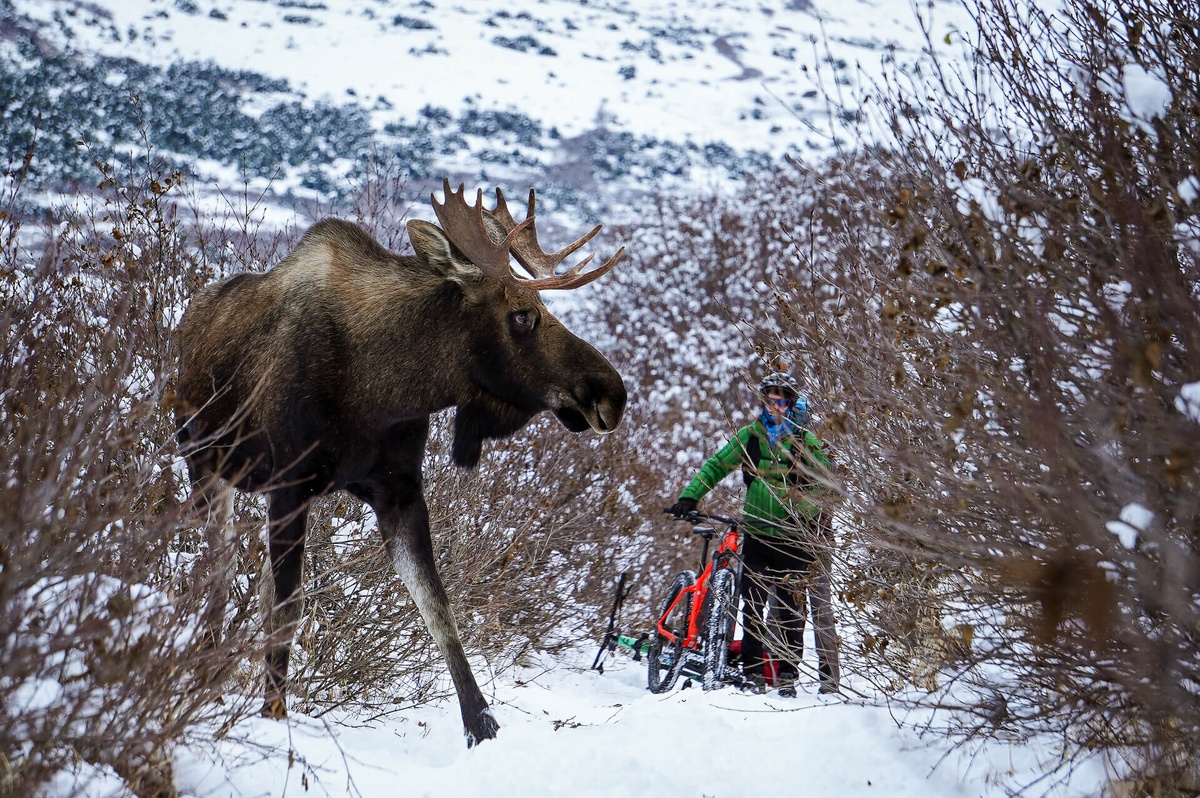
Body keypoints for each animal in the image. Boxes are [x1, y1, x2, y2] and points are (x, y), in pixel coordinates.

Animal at [175, 177, 628, 744]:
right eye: (523, 315)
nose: (612, 394)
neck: (390, 387)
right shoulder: (290, 486)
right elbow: (287, 606)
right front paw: (273, 713)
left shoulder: (399, 492)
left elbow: (437, 606)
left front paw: (481, 726)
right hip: (204, 466)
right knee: (216, 569)